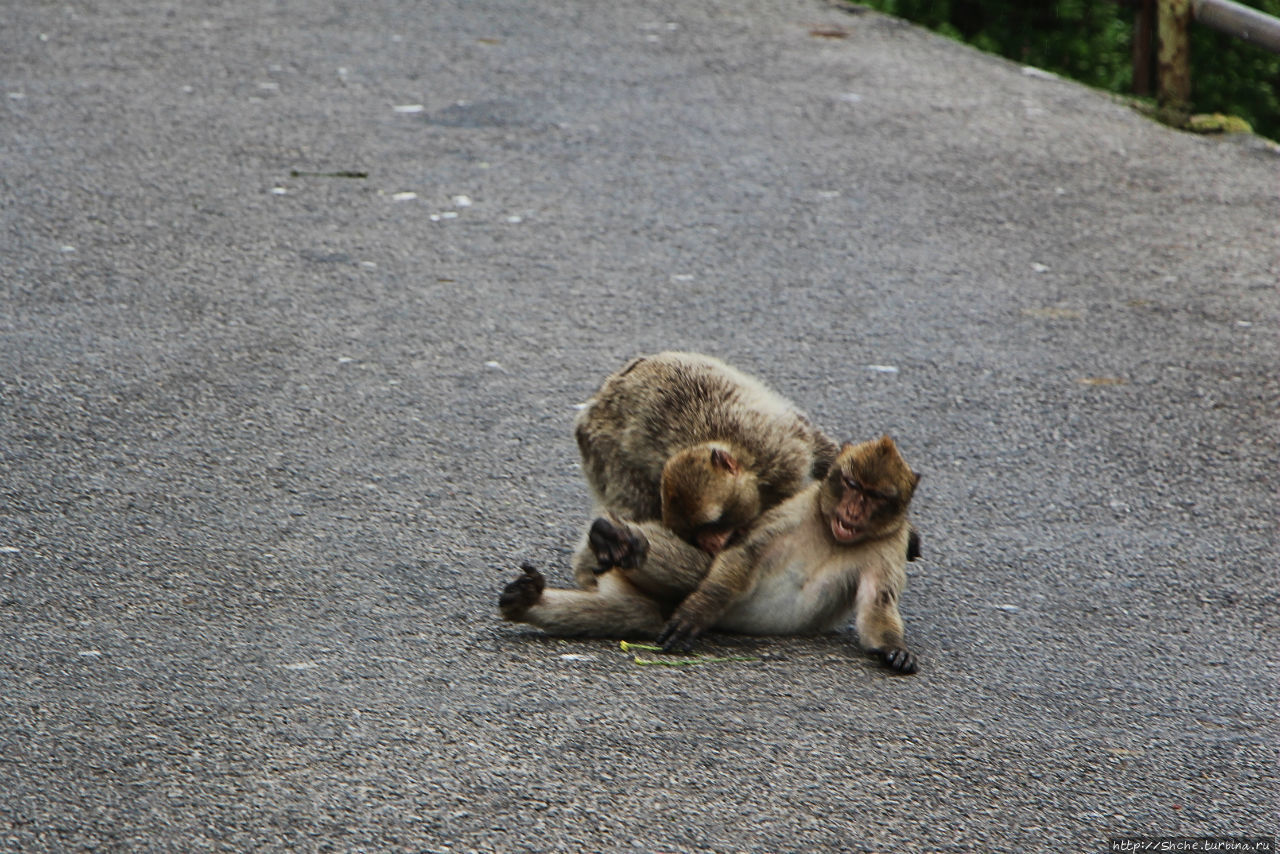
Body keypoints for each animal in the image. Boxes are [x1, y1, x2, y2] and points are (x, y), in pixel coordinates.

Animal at [496, 440, 921, 676]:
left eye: (876, 496)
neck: (835, 537)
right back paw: (619, 543)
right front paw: (698, 610)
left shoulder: (889, 544)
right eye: (851, 484)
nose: (853, 509)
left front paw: (893, 649)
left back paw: (531, 600)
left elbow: (877, 604)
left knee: (633, 613)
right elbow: (745, 556)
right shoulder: (799, 508)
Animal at [570, 350, 839, 583]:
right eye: (695, 534)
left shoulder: (782, 454)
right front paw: (612, 539)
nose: (710, 543)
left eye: (712, 524)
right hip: (603, 450)